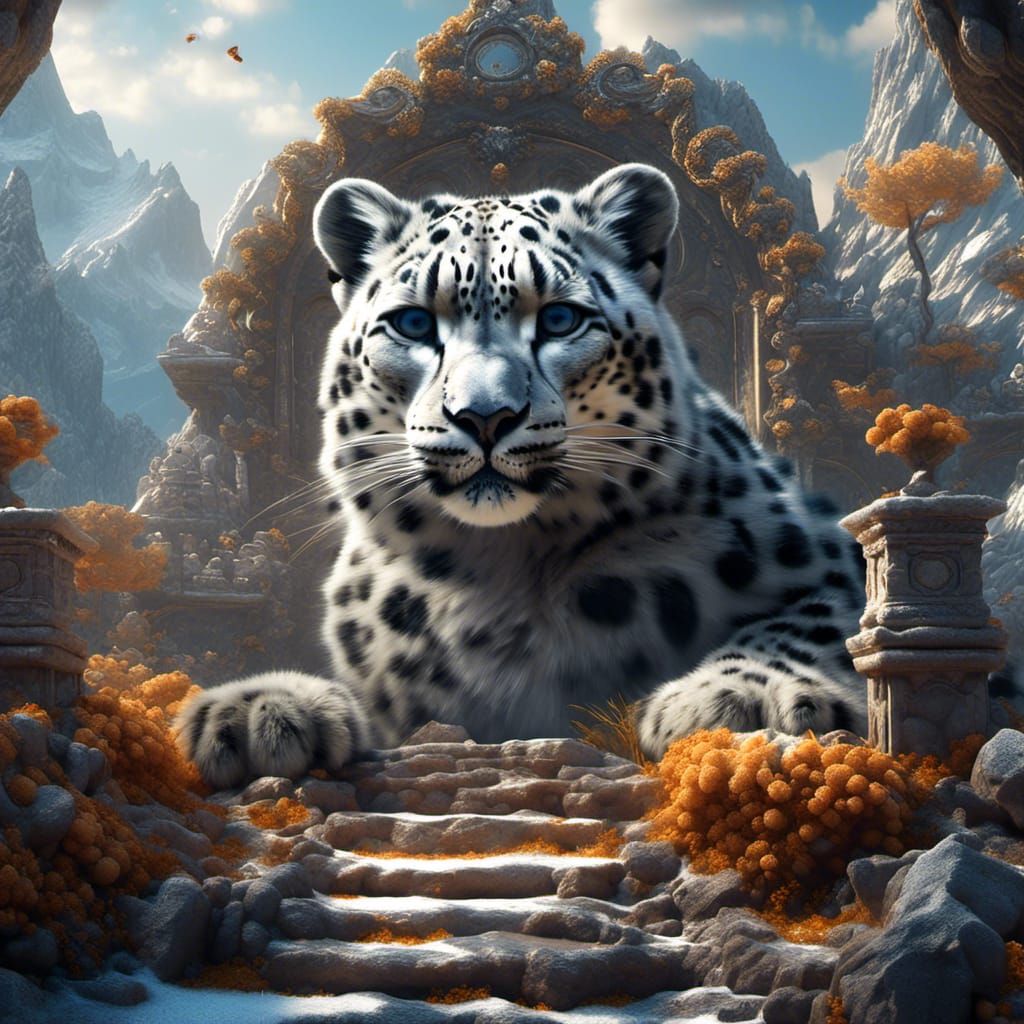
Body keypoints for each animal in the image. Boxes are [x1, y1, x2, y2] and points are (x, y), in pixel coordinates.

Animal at [177, 163, 870, 789]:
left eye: (561, 319)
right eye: (414, 323)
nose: (485, 416)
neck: (500, 568)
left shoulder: (829, 558)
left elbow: (815, 618)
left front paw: (739, 696)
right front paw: (261, 712)